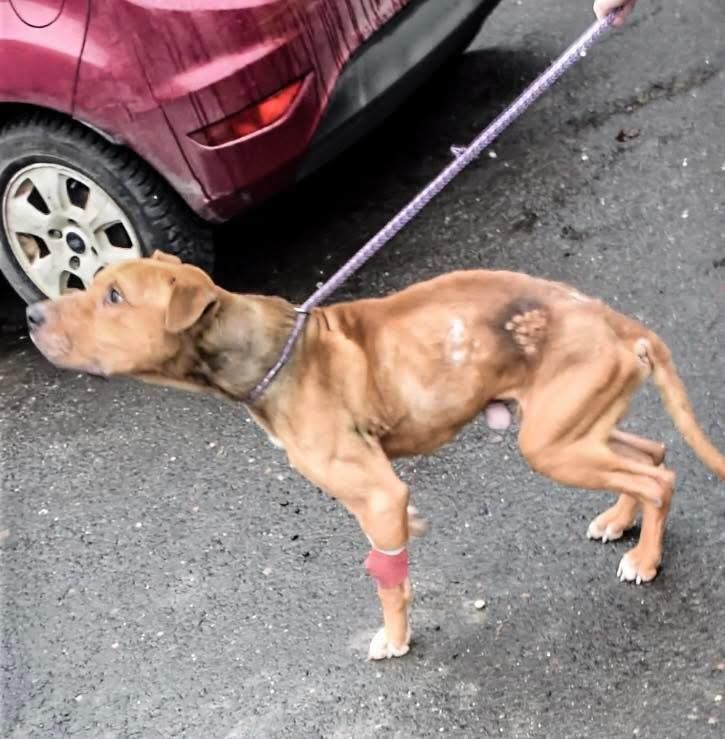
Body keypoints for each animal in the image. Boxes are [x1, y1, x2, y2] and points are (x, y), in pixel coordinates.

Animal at [26, 251, 724, 660]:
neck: (266, 352)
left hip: (554, 443)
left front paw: (395, 640)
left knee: (659, 476)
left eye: (115, 298)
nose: (31, 313)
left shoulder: (380, 497)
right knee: (653, 451)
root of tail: (620, 323)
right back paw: (619, 520)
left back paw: (647, 558)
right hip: (574, 430)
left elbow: (389, 582)